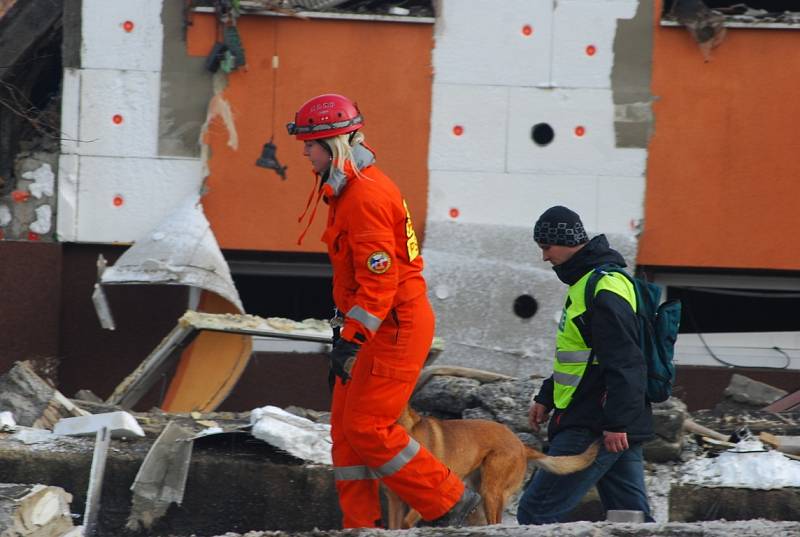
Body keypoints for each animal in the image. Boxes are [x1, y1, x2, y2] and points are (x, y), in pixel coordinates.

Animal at [384, 406, 596, 528]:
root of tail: (521, 444)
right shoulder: (395, 502)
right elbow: (395, 525)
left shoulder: (426, 498)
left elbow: (406, 522)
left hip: (490, 492)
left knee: (495, 522)